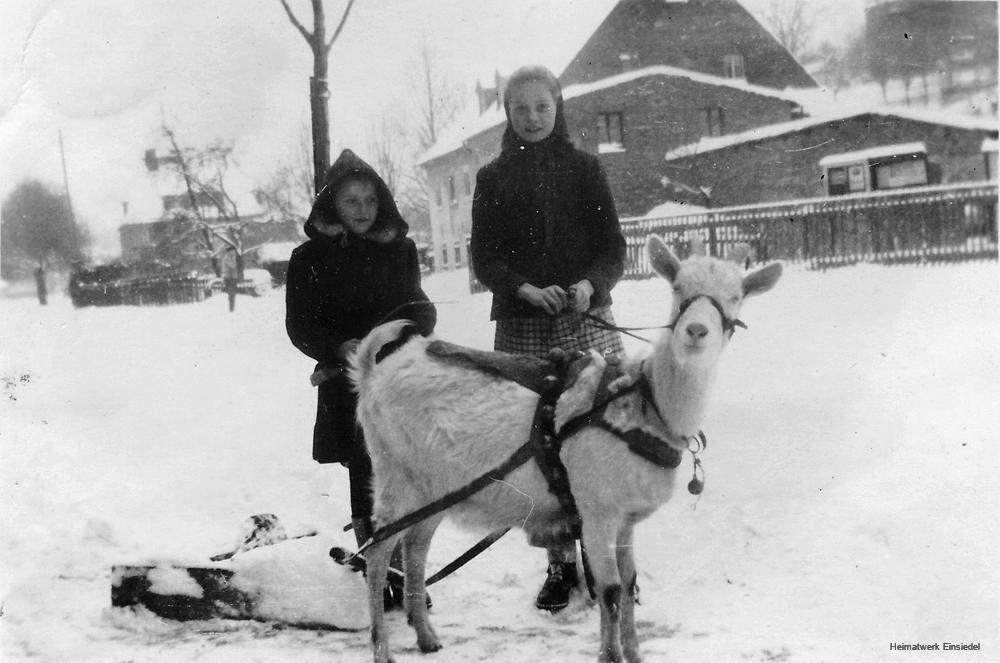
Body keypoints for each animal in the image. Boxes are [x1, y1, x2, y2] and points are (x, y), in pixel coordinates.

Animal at [350, 236, 780, 663]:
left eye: (736, 296)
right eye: (677, 288)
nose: (695, 330)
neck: (644, 405)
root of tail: (372, 374)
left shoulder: (626, 518)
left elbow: (628, 582)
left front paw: (633, 653)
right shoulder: (596, 508)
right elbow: (609, 590)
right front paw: (610, 655)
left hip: (436, 486)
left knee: (415, 546)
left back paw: (425, 635)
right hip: (393, 472)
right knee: (378, 552)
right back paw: (382, 648)